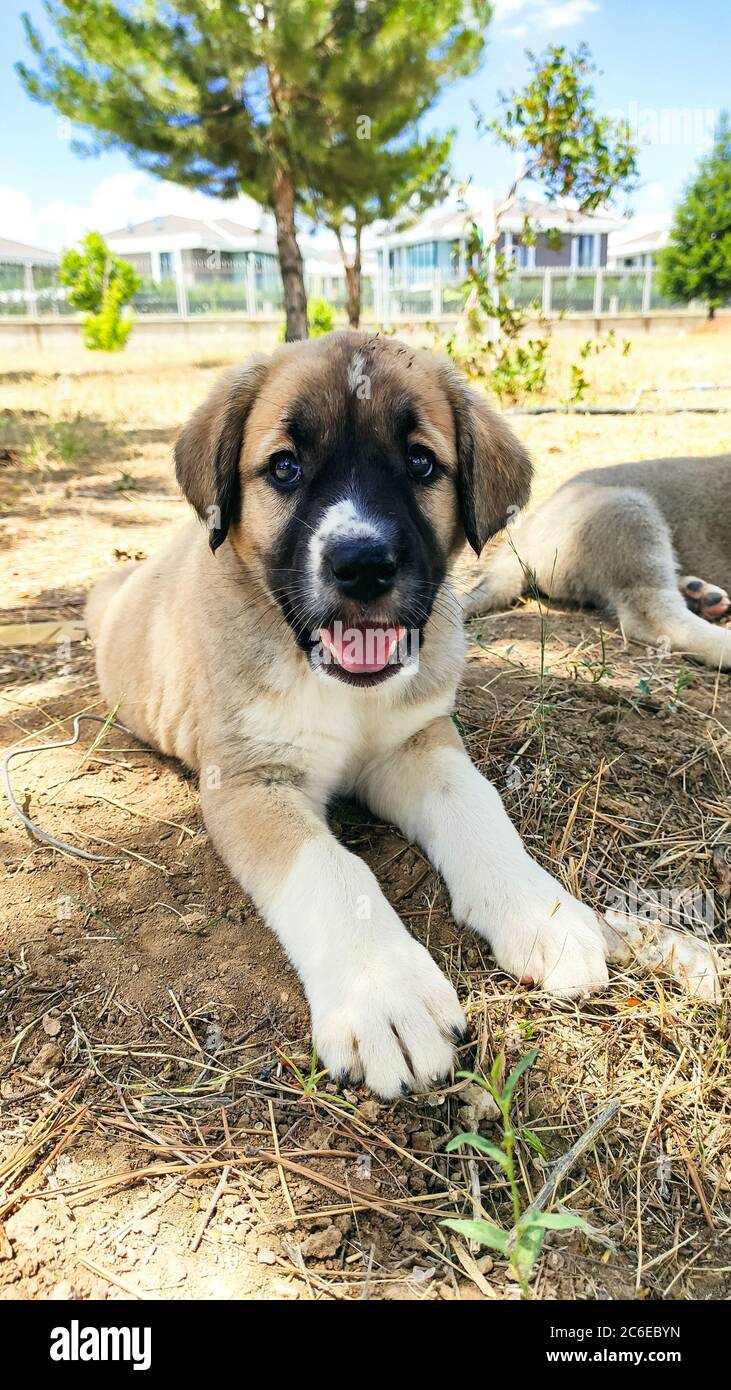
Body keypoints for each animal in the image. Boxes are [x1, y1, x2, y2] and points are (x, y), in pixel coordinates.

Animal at [87, 330, 614, 1100]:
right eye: (285, 466)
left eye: (421, 462)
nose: (362, 564)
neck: (338, 690)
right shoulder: (250, 784)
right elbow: (331, 870)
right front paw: (384, 992)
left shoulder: (416, 743)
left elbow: (479, 809)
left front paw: (539, 911)